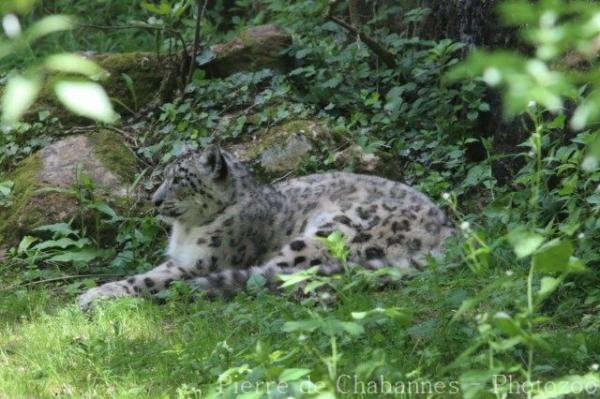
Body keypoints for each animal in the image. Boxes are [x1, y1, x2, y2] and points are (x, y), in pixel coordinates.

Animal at [79, 145, 454, 310]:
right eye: (164, 177)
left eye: (180, 180)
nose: (155, 201)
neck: (186, 231)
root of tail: (447, 230)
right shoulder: (180, 258)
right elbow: (148, 273)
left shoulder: (201, 262)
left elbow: (147, 279)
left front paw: (94, 295)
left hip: (331, 231)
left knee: (280, 277)